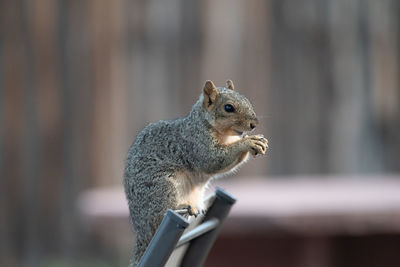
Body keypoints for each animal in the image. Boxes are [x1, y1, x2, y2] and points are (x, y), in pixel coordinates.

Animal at [123, 79, 268, 266]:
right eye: (228, 107)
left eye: (247, 100)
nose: (254, 124)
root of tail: (142, 233)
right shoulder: (196, 143)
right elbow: (212, 160)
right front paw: (248, 142)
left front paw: (258, 141)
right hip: (161, 187)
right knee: (159, 216)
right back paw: (181, 206)